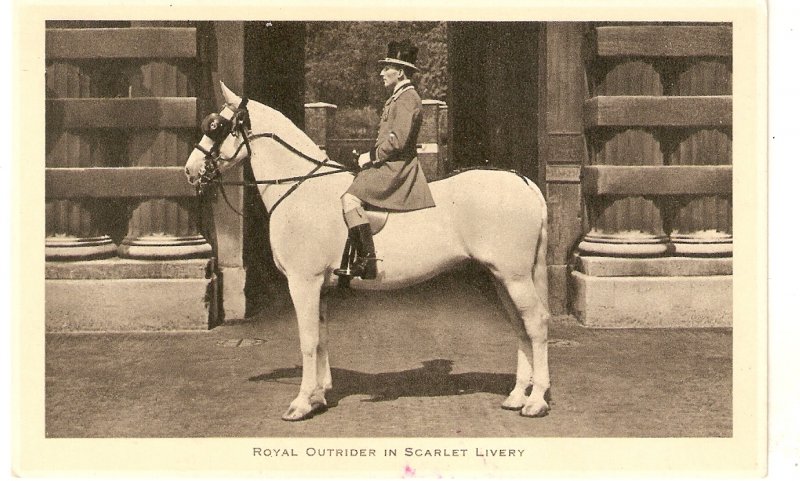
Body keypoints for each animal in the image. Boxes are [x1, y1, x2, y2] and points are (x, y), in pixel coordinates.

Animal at [187, 83, 552, 420]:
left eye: (217, 126)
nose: (190, 171)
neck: (303, 188)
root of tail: (523, 182)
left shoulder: (303, 283)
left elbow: (307, 340)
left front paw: (302, 403)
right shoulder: (319, 287)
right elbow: (321, 337)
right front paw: (319, 396)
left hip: (515, 278)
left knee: (536, 324)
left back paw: (536, 401)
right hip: (500, 277)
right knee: (520, 326)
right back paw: (517, 395)